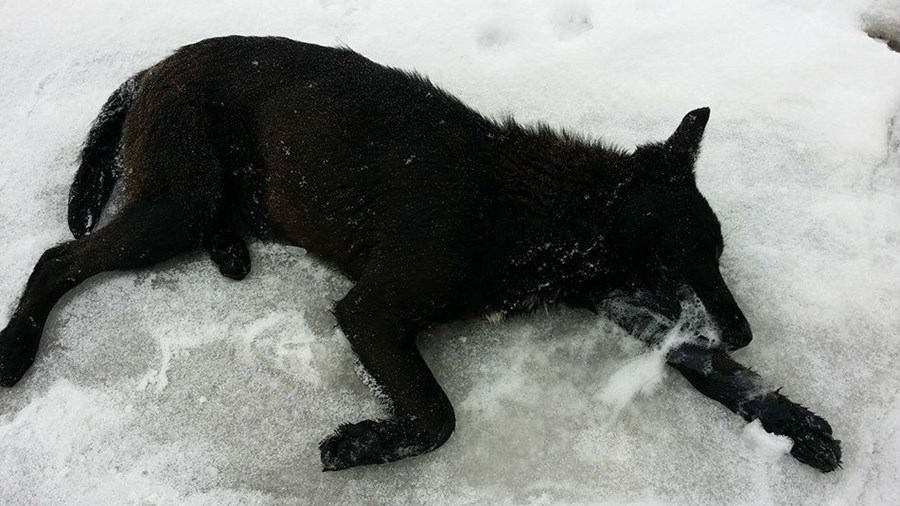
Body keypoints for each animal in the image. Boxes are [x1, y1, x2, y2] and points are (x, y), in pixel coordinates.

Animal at [0, 36, 840, 472]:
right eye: (679, 262)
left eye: (718, 256)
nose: (746, 332)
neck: (533, 210)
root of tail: (155, 65)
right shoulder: (371, 308)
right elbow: (437, 415)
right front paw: (365, 441)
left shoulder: (626, 298)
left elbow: (711, 366)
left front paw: (793, 421)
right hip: (173, 204)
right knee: (55, 260)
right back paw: (15, 349)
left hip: (202, 197)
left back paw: (233, 252)